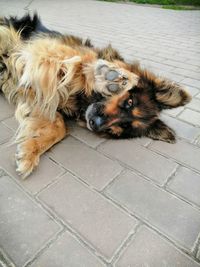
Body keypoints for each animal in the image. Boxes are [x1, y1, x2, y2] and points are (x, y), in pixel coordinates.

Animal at [0, 14, 191, 178]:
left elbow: (59, 127)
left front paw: (30, 152)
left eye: (122, 127)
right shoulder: (43, 48)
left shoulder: (39, 97)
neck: (82, 100)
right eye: (129, 102)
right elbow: (79, 61)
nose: (95, 123)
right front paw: (106, 76)